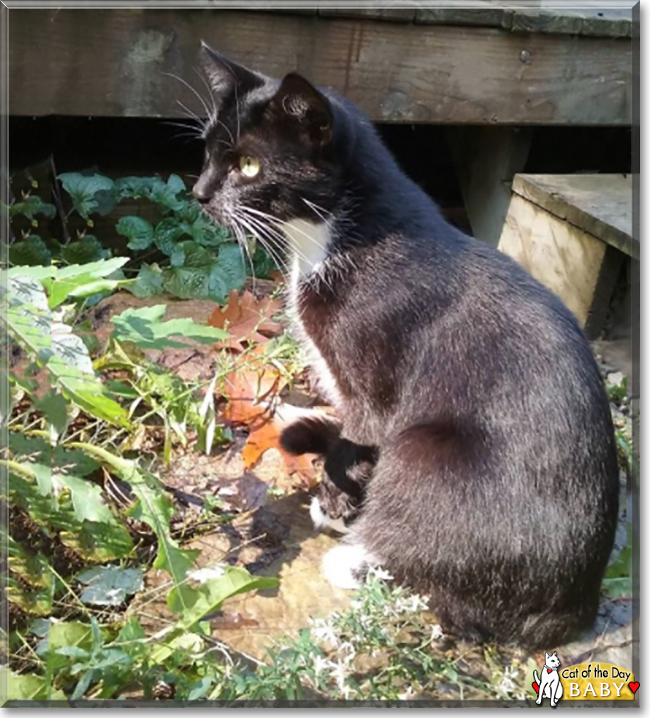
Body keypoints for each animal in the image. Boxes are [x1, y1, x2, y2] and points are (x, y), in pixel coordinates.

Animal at [192, 45, 616, 648]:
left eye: (249, 165)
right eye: (207, 150)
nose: (199, 192)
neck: (336, 236)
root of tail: (573, 611)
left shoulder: (376, 378)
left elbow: (358, 440)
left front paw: (332, 508)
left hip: (426, 451)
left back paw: (355, 560)